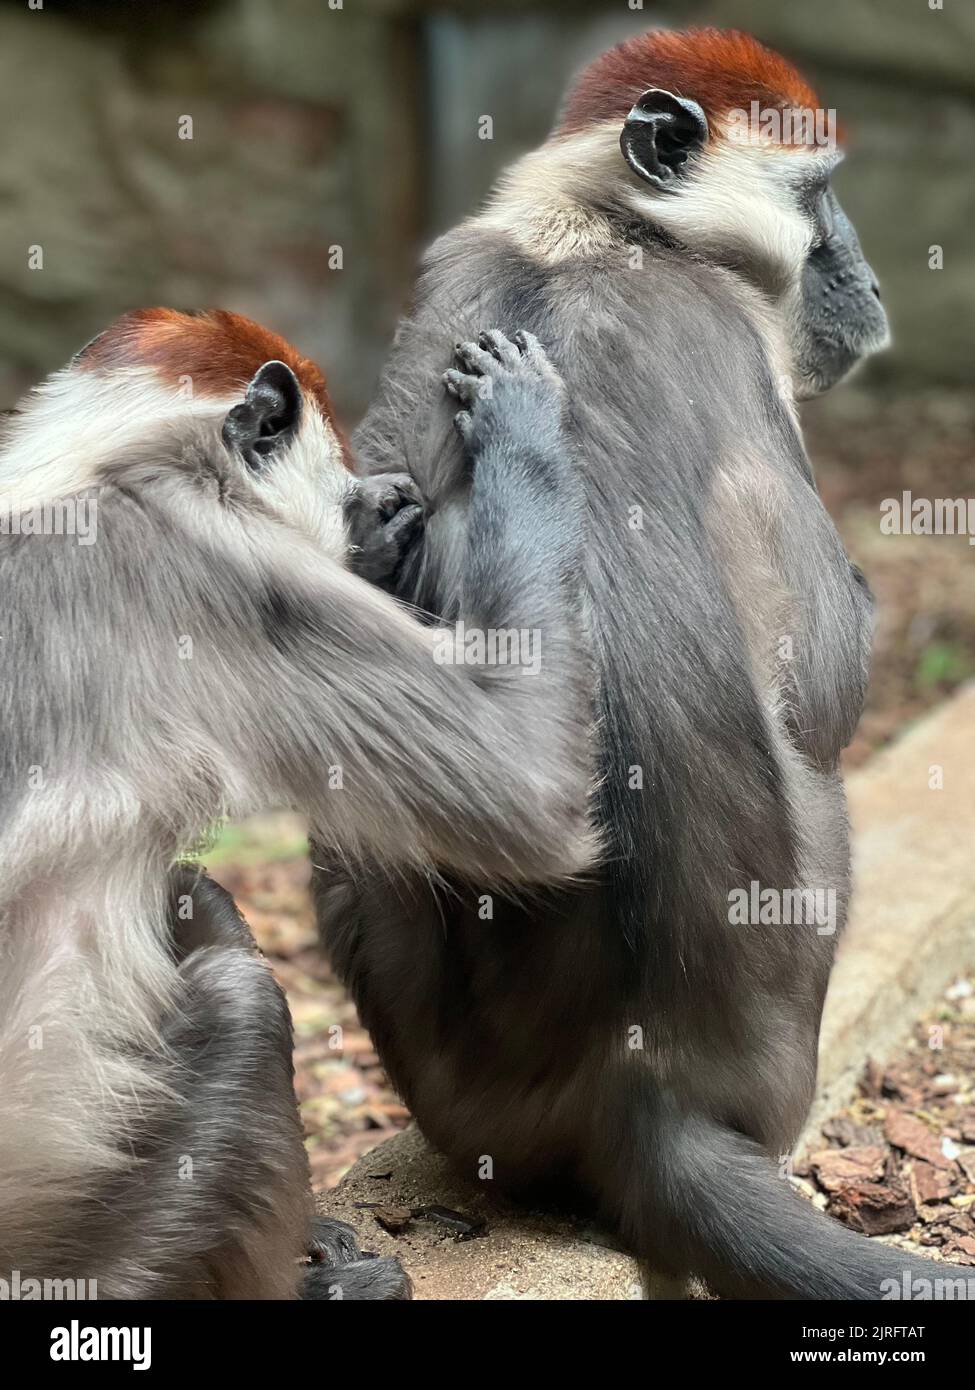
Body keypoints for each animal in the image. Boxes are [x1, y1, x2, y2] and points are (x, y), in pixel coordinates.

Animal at [0, 309, 592, 1295]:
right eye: (347, 483)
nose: (387, 498)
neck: (94, 478)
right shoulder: (234, 572)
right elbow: (532, 788)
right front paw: (523, 433)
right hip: (99, 1249)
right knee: (239, 997)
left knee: (193, 896)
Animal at [315, 27, 968, 1295]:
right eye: (817, 198)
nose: (864, 276)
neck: (601, 237)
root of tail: (637, 1089)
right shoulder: (734, 340)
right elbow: (826, 678)